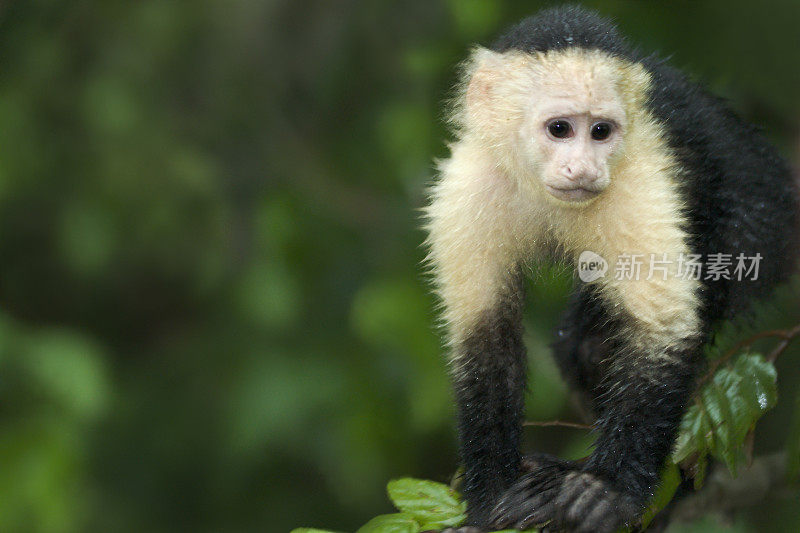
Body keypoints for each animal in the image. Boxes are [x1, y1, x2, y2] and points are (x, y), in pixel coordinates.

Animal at [424, 5, 800, 532]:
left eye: (601, 131)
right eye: (560, 129)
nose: (583, 169)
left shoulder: (640, 180)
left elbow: (663, 330)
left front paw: (608, 490)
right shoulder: (468, 188)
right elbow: (485, 337)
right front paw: (488, 499)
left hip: (757, 222)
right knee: (582, 347)